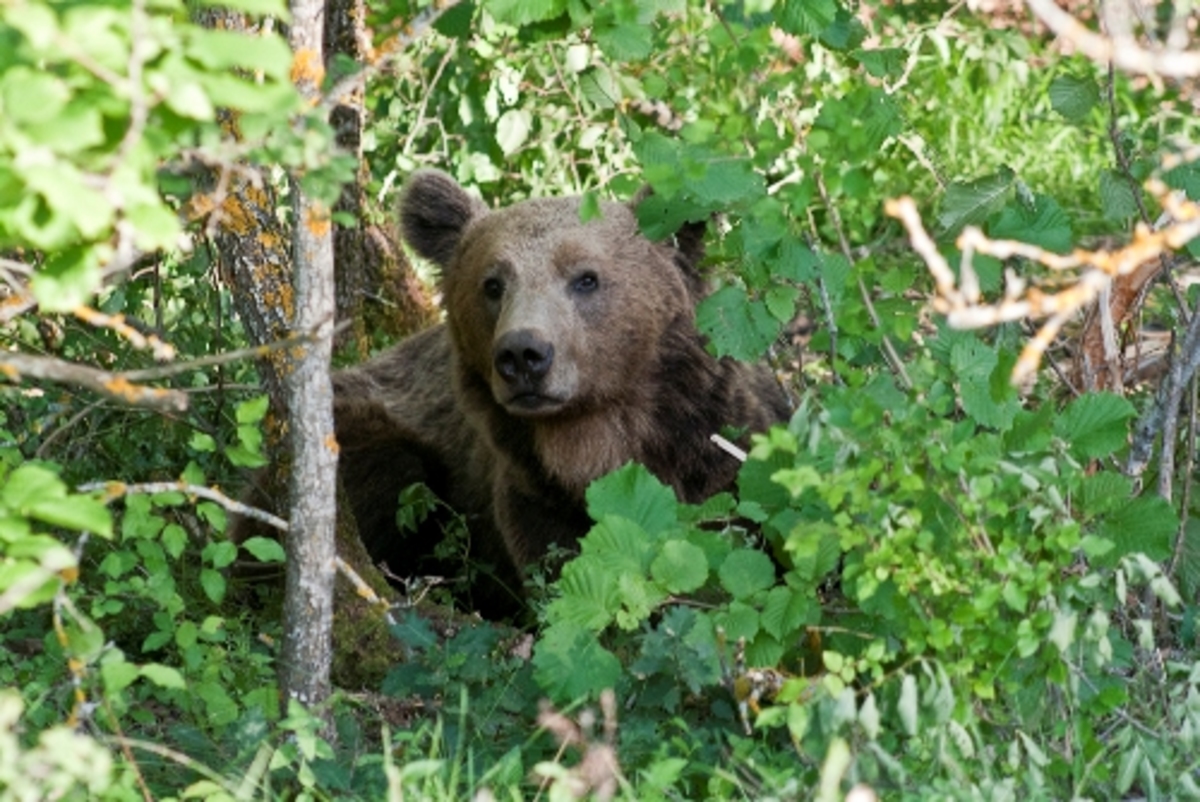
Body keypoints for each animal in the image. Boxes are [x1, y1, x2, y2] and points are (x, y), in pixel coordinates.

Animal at [333, 170, 792, 614]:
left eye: (585, 278)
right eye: (493, 284)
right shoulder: (532, 494)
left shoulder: (715, 455)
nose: (522, 354)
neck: (594, 441)